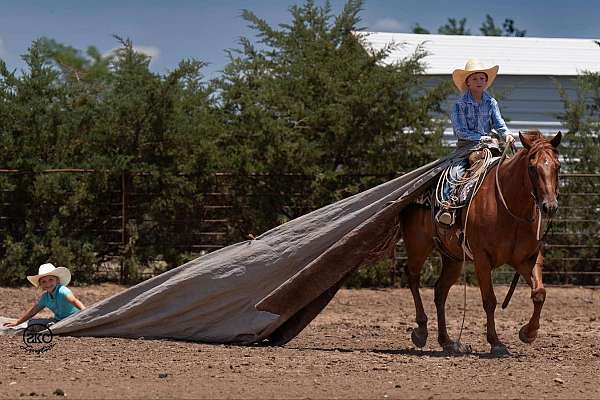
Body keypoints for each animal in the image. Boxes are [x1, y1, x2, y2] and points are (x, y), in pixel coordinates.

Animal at [400, 130, 560, 354]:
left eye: (557, 166)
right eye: (532, 167)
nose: (549, 207)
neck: (510, 207)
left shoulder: (527, 259)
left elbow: (539, 293)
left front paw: (528, 333)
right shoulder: (482, 258)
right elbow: (489, 301)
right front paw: (496, 342)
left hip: (453, 259)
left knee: (440, 291)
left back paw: (447, 341)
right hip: (418, 247)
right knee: (412, 276)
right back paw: (421, 331)